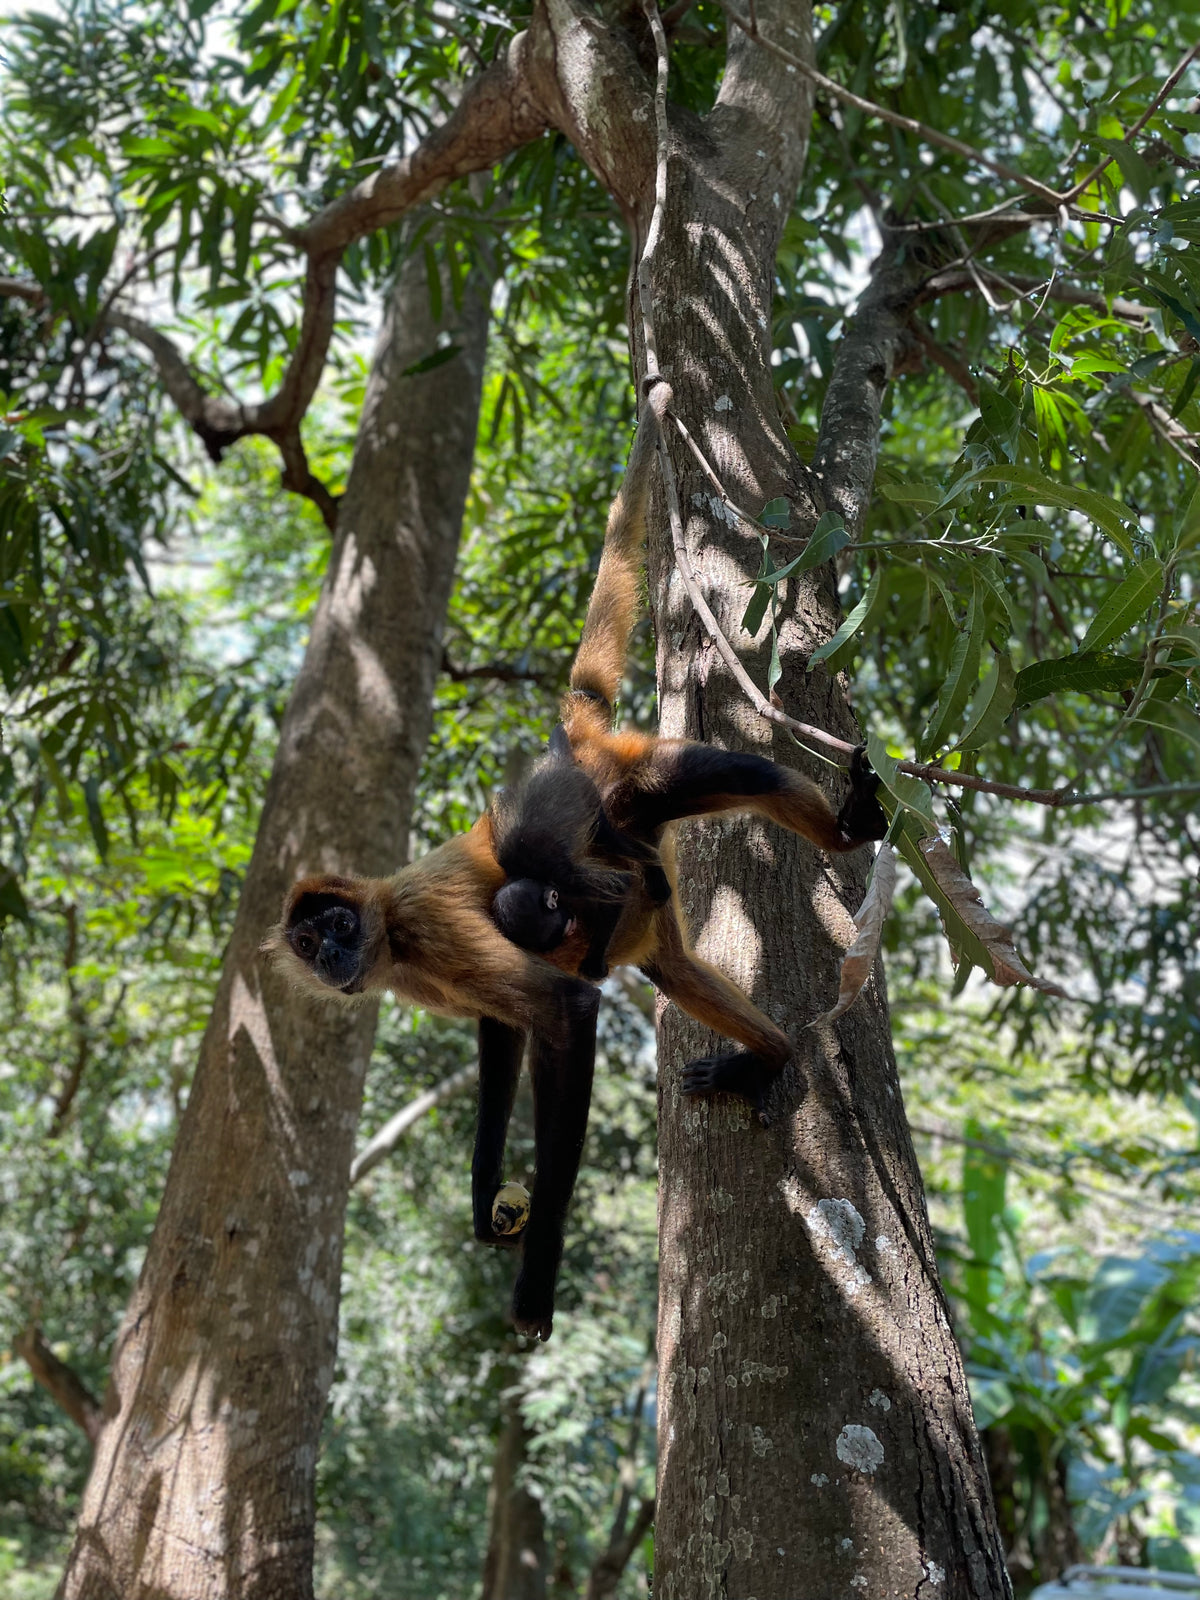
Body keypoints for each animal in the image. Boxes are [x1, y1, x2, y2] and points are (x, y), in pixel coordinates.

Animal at [267, 376, 886, 1340]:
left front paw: (535, 1277)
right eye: (308, 942)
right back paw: (769, 1053)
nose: (330, 954)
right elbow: (502, 1033)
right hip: (647, 899)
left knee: (700, 788)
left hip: (622, 782)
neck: (390, 938)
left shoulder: (427, 924)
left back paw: (846, 831)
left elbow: (562, 1010)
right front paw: (486, 1201)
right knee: (674, 967)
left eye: (334, 924)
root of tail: (572, 737)